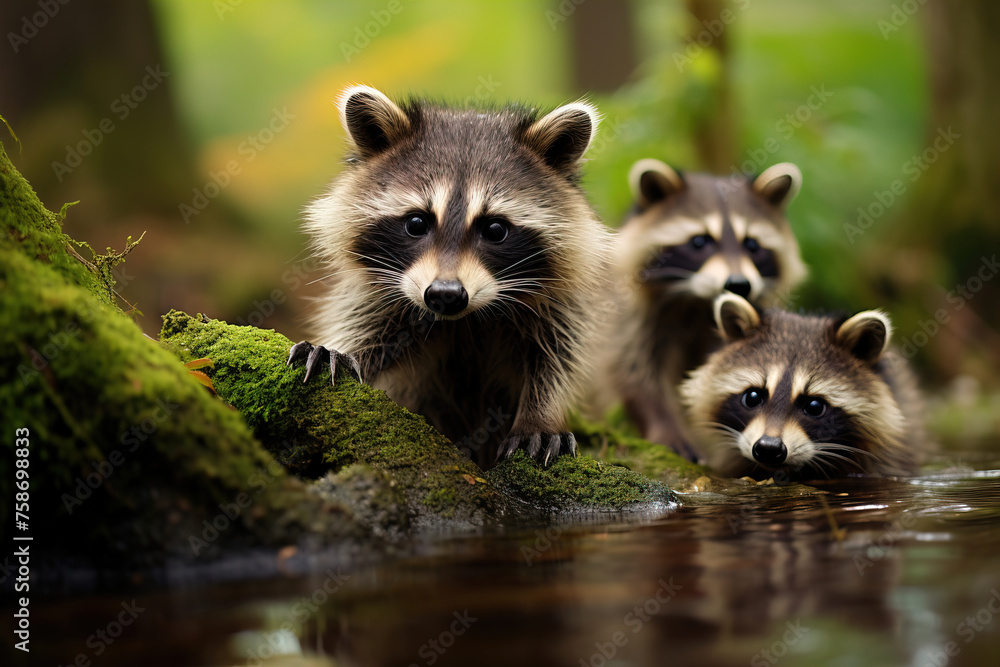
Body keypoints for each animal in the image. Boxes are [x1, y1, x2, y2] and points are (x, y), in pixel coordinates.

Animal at [287, 85, 611, 467]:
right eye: (416, 223)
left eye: (495, 229)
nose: (445, 294)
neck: (466, 321)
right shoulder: (380, 298)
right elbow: (367, 330)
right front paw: (343, 351)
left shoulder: (559, 306)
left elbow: (557, 359)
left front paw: (540, 416)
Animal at [603, 159, 807, 459]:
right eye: (700, 241)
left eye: (752, 244)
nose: (738, 284)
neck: (699, 302)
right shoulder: (630, 310)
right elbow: (632, 367)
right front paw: (663, 425)